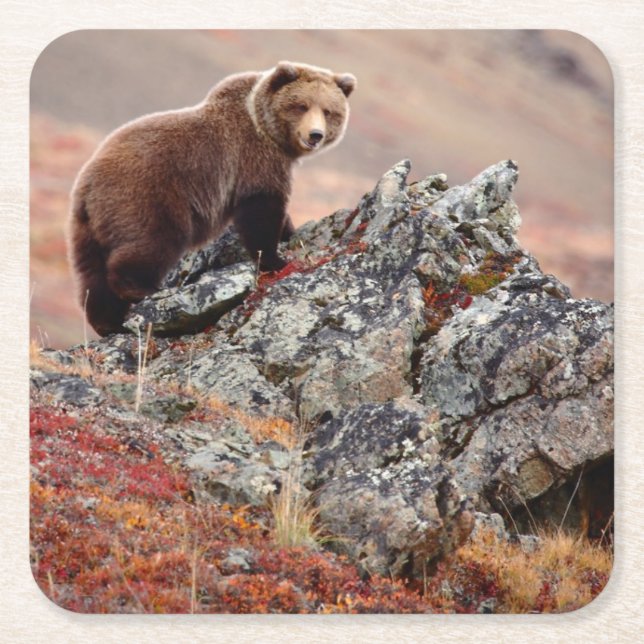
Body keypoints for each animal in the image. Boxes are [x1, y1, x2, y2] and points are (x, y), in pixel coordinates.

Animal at [68, 61, 356, 336]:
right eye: (301, 106)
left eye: (328, 111)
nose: (315, 135)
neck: (268, 132)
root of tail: (87, 185)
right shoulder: (253, 160)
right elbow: (261, 212)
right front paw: (277, 260)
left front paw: (288, 234)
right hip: (147, 197)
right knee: (152, 241)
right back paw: (141, 290)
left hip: (87, 228)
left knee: (92, 274)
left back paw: (107, 322)